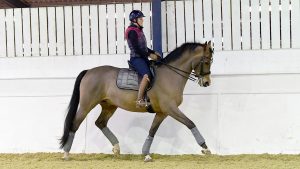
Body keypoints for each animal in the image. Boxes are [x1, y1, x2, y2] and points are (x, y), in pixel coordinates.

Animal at [59, 40, 213, 161]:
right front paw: (205, 148)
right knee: (74, 124)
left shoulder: (162, 112)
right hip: (87, 105)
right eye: (206, 61)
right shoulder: (170, 108)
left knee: (100, 123)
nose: (207, 82)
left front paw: (146, 154)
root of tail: (89, 71)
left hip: (109, 106)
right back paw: (66, 154)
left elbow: (152, 131)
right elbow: (190, 123)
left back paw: (116, 148)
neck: (170, 75)